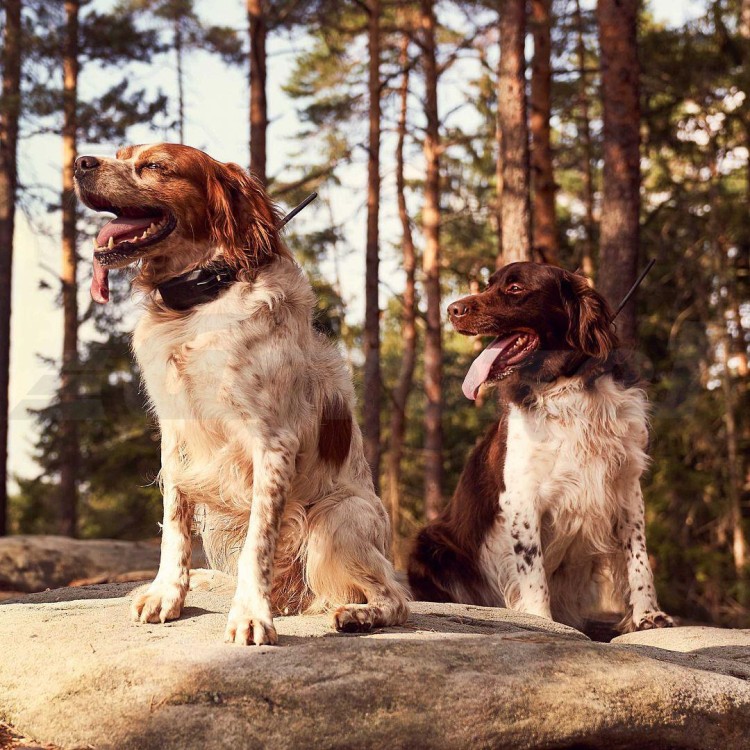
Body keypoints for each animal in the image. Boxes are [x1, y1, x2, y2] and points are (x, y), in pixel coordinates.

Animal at [73, 145, 408, 648]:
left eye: (155, 165)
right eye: (120, 155)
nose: (80, 163)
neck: (201, 301)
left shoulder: (272, 442)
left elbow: (258, 542)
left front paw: (251, 615)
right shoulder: (176, 437)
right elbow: (174, 527)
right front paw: (167, 594)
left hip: (335, 521)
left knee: (394, 597)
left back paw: (357, 615)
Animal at [412, 264, 676, 636]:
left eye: (515, 288)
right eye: (488, 284)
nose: (451, 310)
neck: (567, 387)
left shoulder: (626, 485)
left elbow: (638, 557)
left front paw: (647, 615)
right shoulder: (521, 495)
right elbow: (531, 566)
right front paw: (541, 619)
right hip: (431, 543)